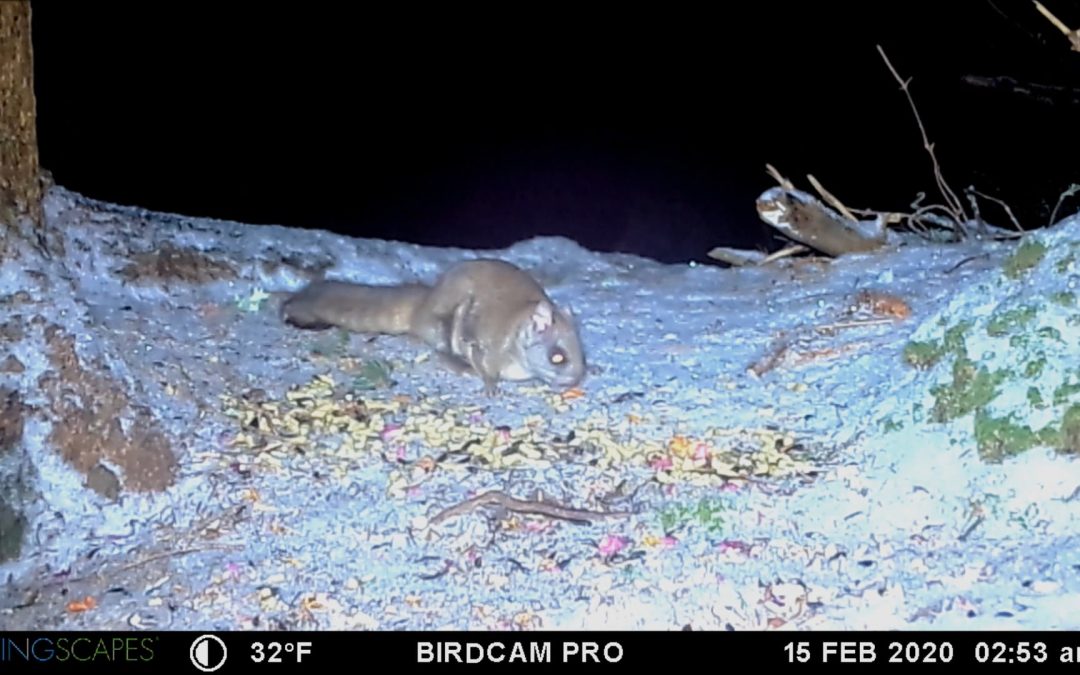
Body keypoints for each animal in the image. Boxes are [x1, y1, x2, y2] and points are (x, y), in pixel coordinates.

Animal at [281, 258, 586, 396]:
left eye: (582, 353)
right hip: (449, 323)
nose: (576, 379)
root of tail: (423, 305)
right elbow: (483, 367)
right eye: (557, 357)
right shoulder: (480, 344)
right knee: (441, 352)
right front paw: (490, 385)